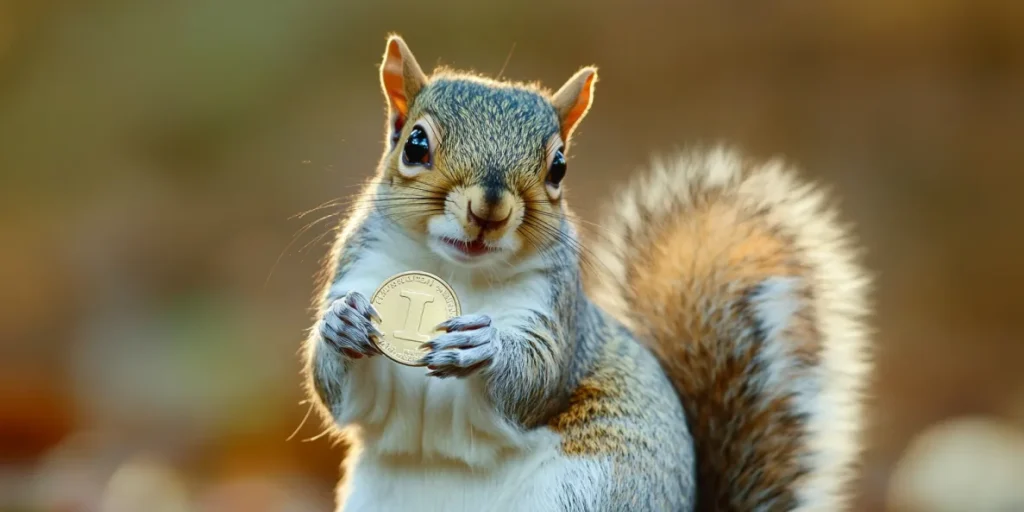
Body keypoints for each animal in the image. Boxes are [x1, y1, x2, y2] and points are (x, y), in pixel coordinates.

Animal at [303, 34, 871, 512]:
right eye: (415, 146)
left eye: (559, 167)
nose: (489, 210)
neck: (456, 270)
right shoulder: (361, 270)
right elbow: (339, 393)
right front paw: (340, 326)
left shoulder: (556, 314)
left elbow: (537, 379)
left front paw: (484, 347)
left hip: (590, 491)